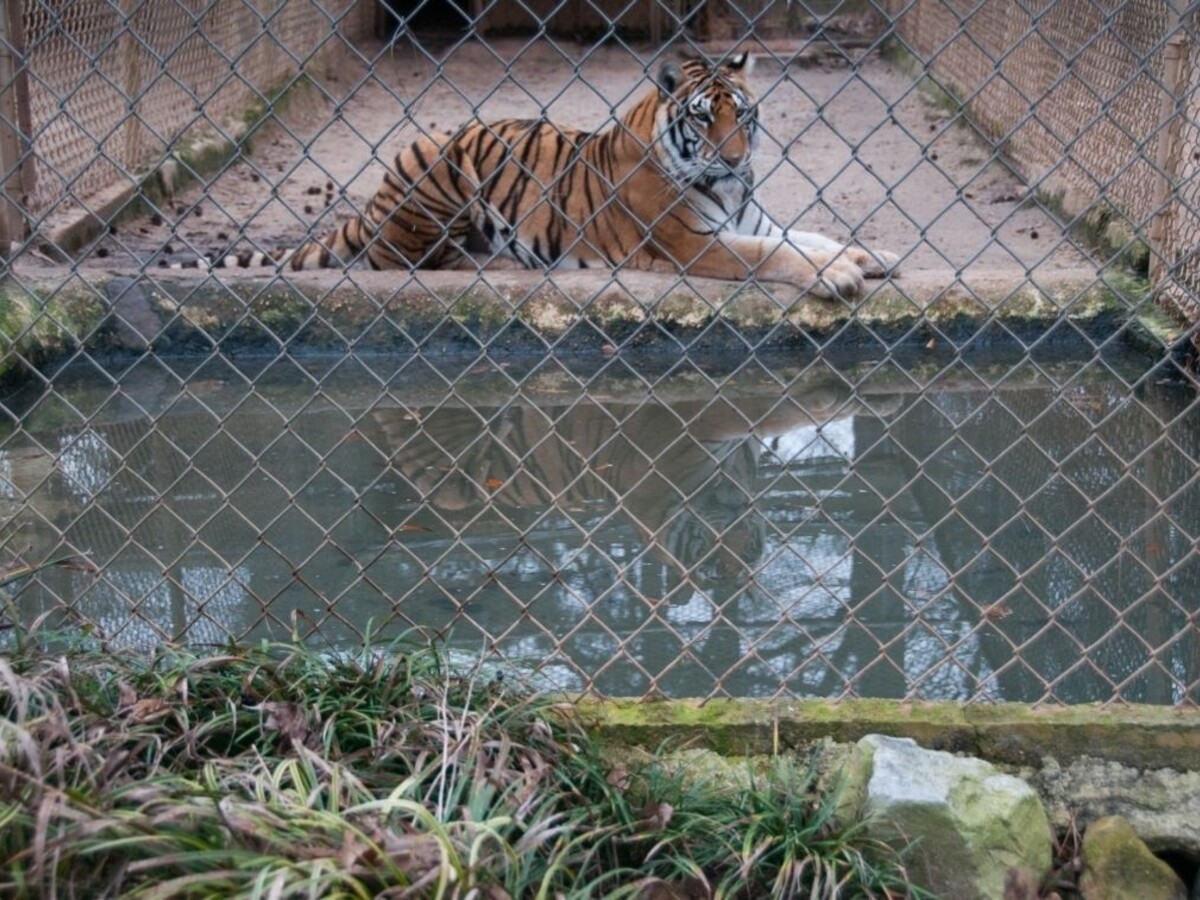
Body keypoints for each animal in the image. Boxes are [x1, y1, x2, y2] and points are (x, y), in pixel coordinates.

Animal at [192, 53, 898, 300]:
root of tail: (371, 205)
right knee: (406, 258)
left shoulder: (753, 216)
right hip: (437, 160)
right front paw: (837, 276)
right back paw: (490, 259)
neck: (725, 186)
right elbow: (774, 256)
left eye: (743, 115)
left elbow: (813, 235)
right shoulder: (691, 243)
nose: (732, 159)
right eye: (704, 117)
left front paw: (874, 255)